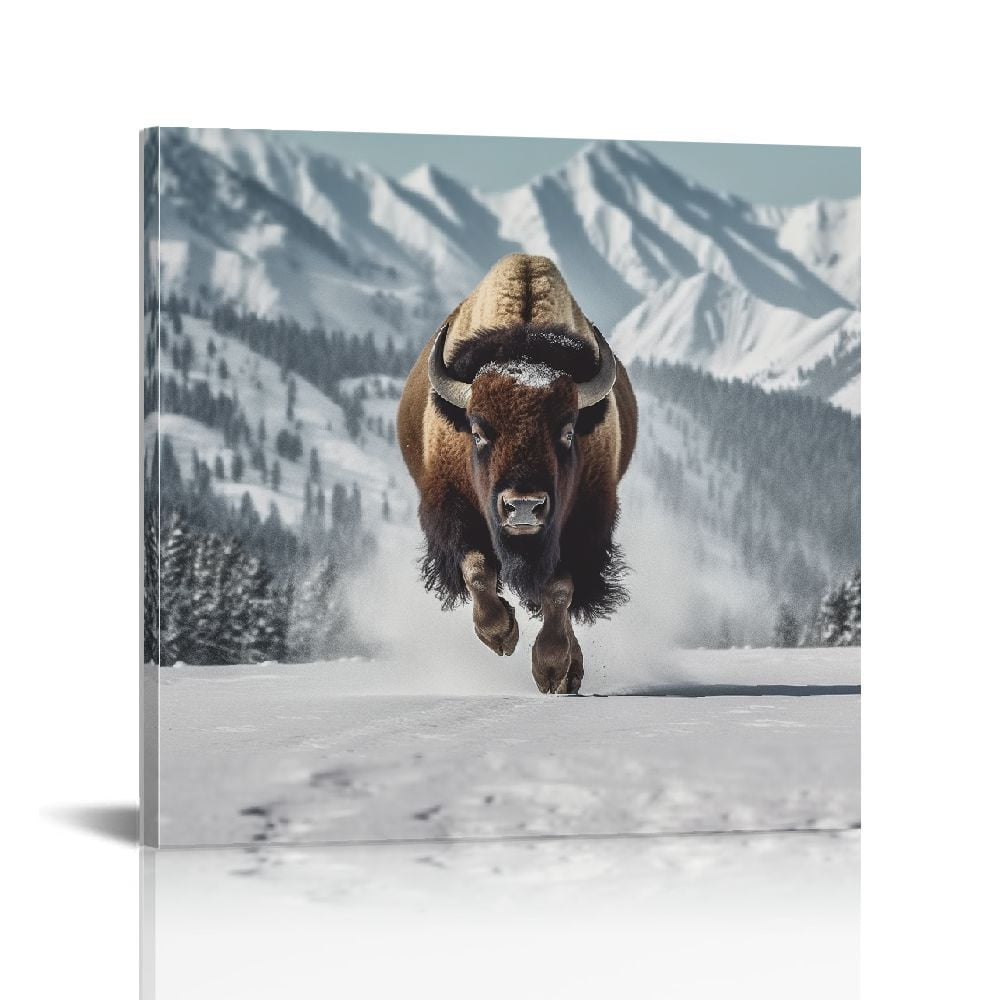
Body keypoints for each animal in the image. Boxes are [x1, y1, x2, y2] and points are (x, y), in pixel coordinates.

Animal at [397, 254, 637, 692]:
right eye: (477, 430)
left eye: (568, 430)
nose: (524, 507)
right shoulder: (451, 509)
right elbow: (477, 570)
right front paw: (502, 634)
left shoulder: (585, 523)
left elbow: (559, 590)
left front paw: (551, 668)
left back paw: (570, 676)